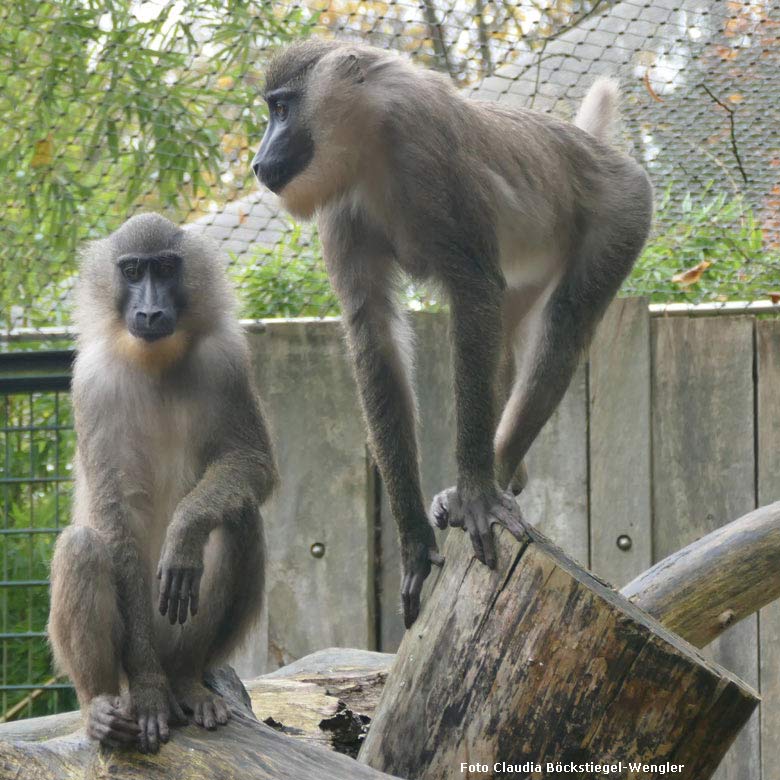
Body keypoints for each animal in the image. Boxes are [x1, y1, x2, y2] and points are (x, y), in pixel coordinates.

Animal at [46, 212, 278, 748]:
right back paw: (105, 706)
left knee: (237, 520)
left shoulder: (227, 359)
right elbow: (114, 517)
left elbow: (254, 463)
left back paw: (187, 681)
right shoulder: (92, 384)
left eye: (167, 269)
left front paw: (185, 530)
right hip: (132, 652)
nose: (150, 312)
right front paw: (149, 693)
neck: (154, 359)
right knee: (83, 547)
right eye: (132, 271)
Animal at [251, 41, 652, 628]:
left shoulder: (428, 155)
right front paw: (414, 540)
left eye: (282, 109)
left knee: (565, 323)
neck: (372, 143)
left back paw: (495, 475)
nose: (259, 160)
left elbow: (473, 291)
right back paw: (510, 474)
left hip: (623, 211)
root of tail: (595, 149)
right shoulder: (341, 210)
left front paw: (478, 496)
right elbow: (374, 334)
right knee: (505, 338)